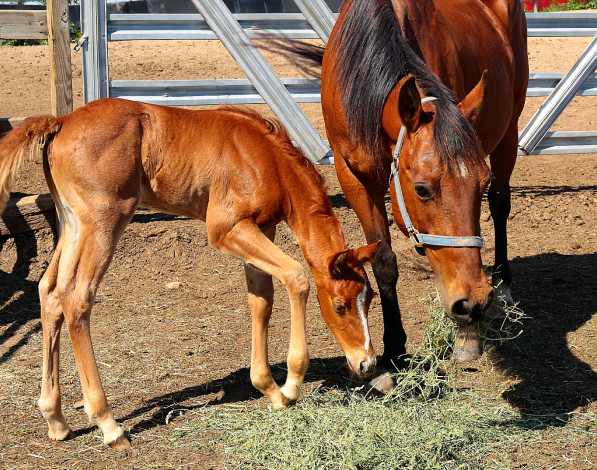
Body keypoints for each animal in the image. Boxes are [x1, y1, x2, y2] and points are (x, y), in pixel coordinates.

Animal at [0, 98, 380, 448]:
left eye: (370, 299)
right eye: (340, 305)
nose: (367, 363)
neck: (266, 157)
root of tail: (60, 122)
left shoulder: (261, 228)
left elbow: (261, 301)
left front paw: (270, 389)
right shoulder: (226, 229)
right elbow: (297, 277)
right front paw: (290, 385)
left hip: (71, 224)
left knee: (50, 292)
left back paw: (56, 419)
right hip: (105, 220)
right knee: (76, 296)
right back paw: (108, 425)